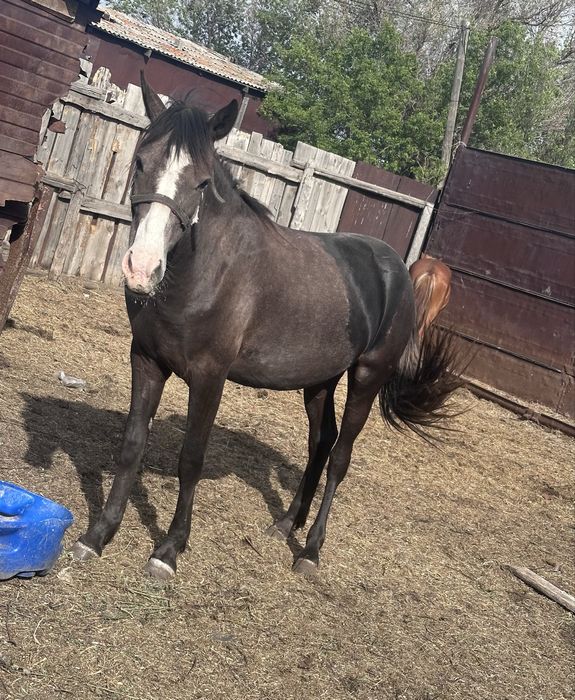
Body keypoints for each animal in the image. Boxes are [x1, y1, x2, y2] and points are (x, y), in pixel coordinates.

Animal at [72, 76, 461, 579]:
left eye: (201, 181)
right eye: (140, 161)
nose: (142, 268)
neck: (202, 273)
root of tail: (397, 267)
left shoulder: (210, 377)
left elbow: (191, 458)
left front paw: (169, 550)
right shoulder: (147, 359)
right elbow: (132, 445)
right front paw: (97, 536)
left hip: (366, 377)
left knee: (339, 457)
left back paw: (310, 551)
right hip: (320, 380)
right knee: (320, 442)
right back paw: (285, 524)